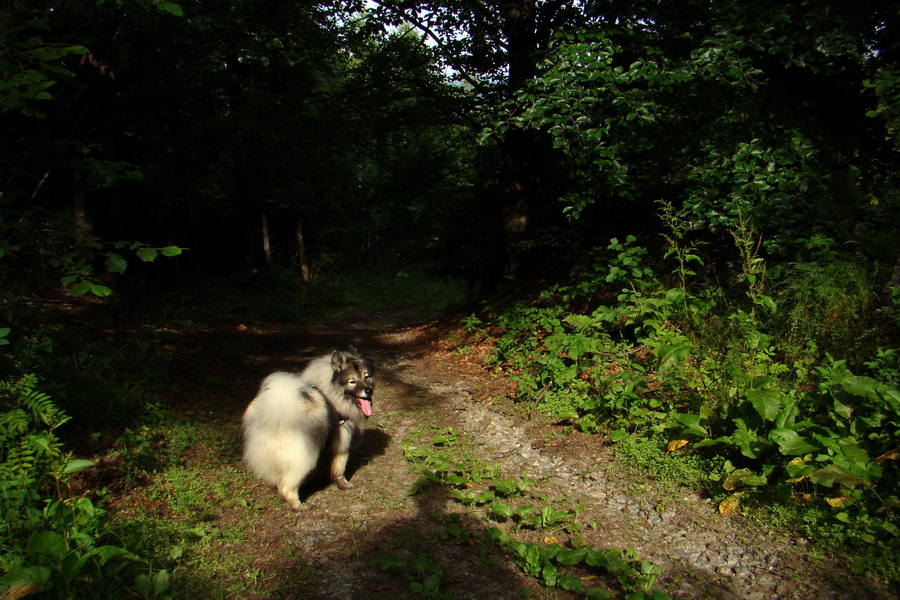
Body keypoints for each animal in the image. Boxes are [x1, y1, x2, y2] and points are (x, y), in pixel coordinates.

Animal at [241, 346, 374, 510]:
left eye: (366, 377)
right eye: (352, 381)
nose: (369, 390)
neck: (332, 393)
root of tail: (277, 414)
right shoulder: (342, 442)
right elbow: (340, 468)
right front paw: (343, 484)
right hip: (303, 456)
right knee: (288, 485)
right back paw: (297, 505)